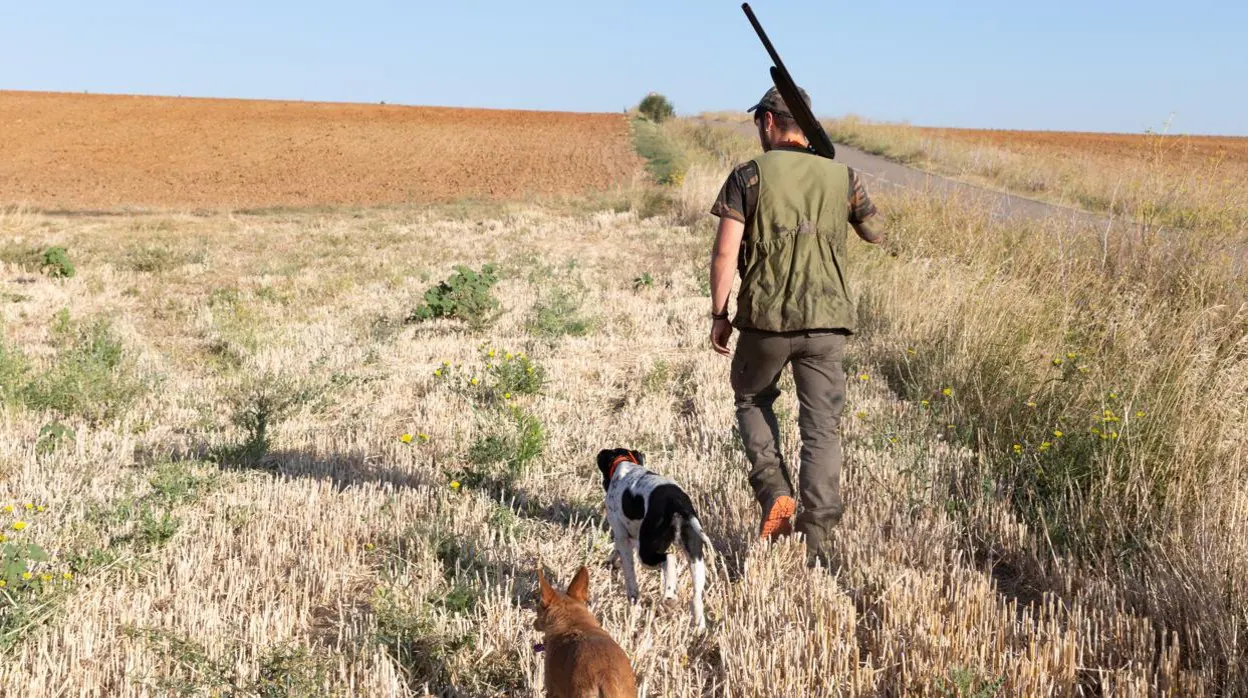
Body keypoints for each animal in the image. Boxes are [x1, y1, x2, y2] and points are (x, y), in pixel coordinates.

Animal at [596, 447, 713, 634]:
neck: (624, 463)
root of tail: (677, 504)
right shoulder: (632, 536)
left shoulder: (621, 534)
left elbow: (629, 573)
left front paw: (632, 598)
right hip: (696, 556)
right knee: (696, 596)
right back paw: (699, 627)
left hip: (647, 553)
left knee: (669, 558)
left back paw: (669, 596)